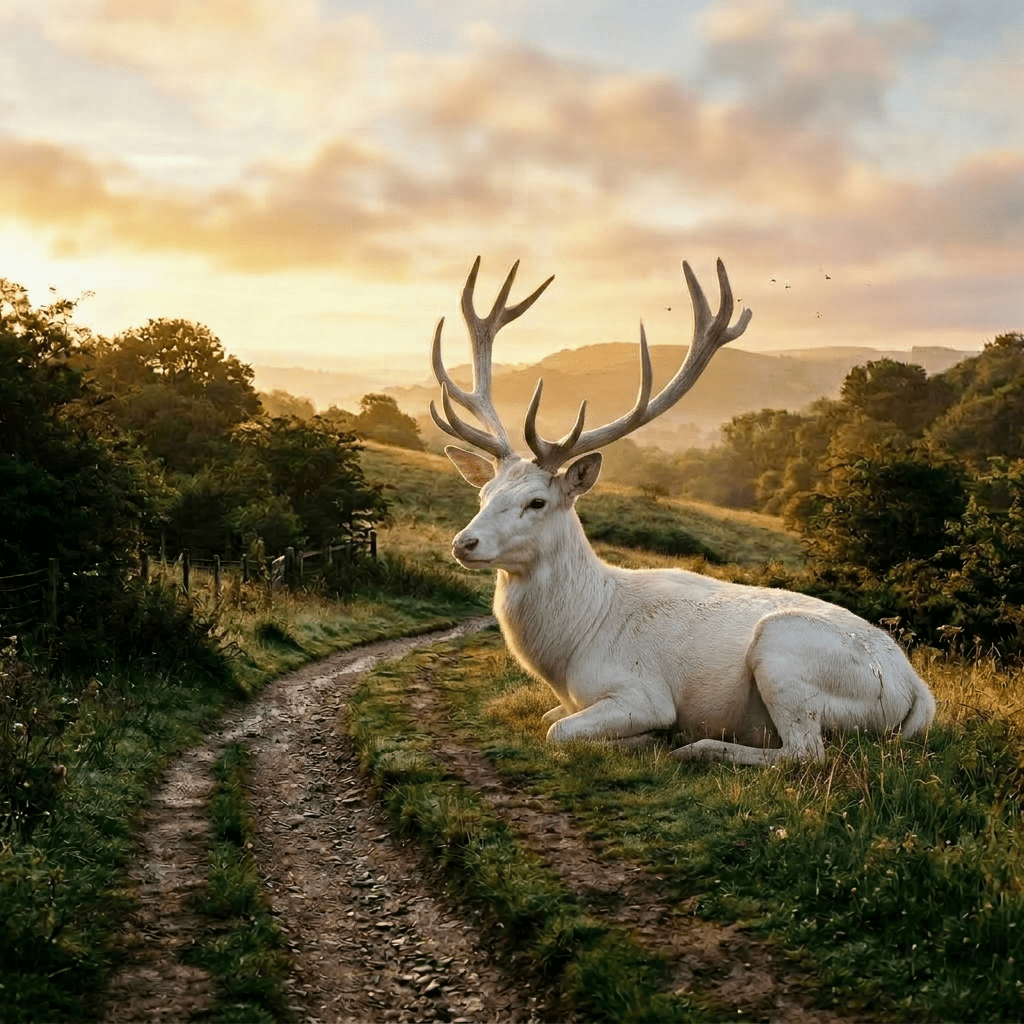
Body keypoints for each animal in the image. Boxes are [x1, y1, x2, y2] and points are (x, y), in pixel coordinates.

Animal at [430, 257, 936, 764]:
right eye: (484, 493)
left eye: (537, 501)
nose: (464, 543)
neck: (570, 652)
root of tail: (915, 689)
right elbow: (545, 717)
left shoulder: (642, 692)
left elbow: (558, 731)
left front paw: (650, 738)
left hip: (783, 654)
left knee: (805, 752)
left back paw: (696, 747)